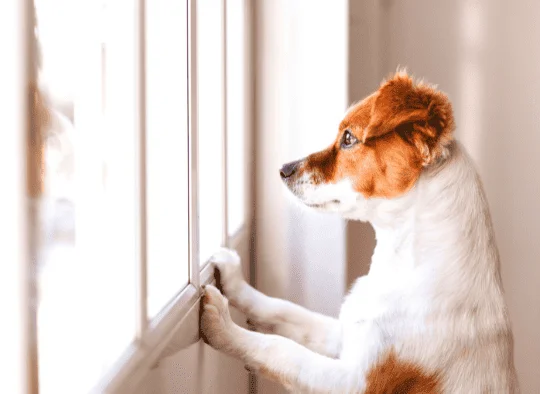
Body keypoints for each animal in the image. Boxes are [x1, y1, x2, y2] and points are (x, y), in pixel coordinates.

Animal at [199, 69, 520, 392]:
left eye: (348, 138)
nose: (283, 169)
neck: (401, 265)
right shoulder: (344, 334)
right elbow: (285, 309)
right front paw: (234, 279)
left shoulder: (355, 381)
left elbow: (281, 349)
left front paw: (223, 326)